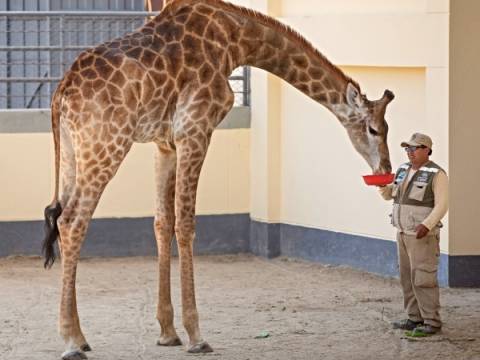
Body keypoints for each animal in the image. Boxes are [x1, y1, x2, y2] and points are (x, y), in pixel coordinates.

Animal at [42, 1, 394, 358]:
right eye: (374, 129)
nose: (386, 171)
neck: (236, 40)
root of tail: (61, 93)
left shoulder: (165, 144)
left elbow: (163, 222)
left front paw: (168, 332)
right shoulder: (195, 130)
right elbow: (186, 224)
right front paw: (196, 335)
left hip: (73, 151)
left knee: (63, 217)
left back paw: (80, 337)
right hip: (107, 144)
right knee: (72, 221)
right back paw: (71, 340)